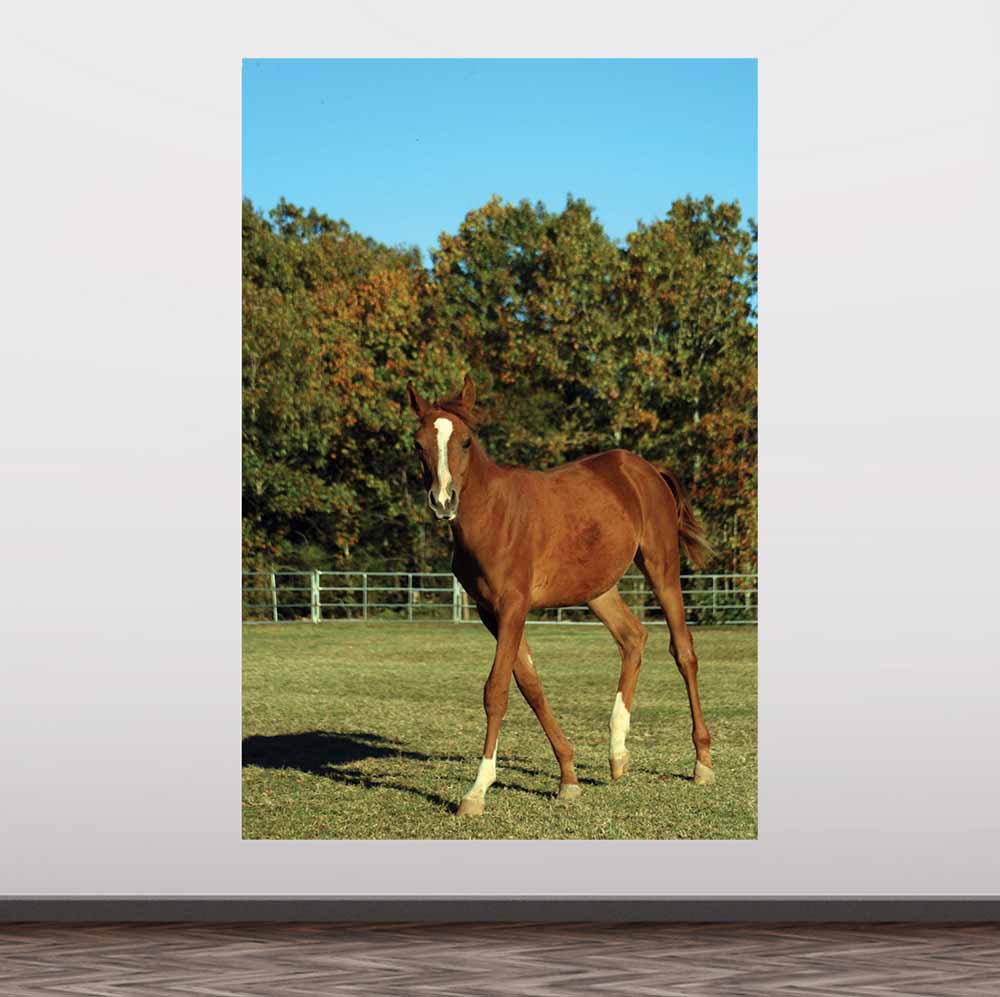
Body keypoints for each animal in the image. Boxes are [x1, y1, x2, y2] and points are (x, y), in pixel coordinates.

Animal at [406, 374, 715, 817]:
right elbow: (530, 686)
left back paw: (702, 763)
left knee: (684, 652)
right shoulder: (489, 612)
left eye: (465, 441)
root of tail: (646, 470)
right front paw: (568, 777)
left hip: (662, 569)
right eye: (418, 443)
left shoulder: (513, 607)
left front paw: (477, 790)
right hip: (598, 590)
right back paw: (617, 755)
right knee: (633, 638)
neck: (493, 515)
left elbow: (496, 690)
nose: (443, 501)